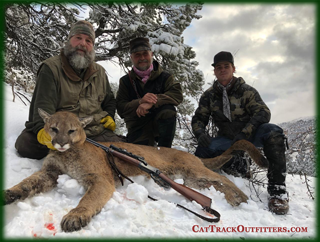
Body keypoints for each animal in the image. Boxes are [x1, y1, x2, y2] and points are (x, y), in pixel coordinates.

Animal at [5, 108, 268, 232]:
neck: (66, 154)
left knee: (225, 180)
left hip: (194, 172)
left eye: (71, 130)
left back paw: (241, 199)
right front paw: (10, 193)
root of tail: (191, 154)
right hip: (194, 180)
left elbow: (88, 199)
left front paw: (75, 217)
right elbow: (27, 183)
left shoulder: (100, 179)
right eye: (53, 128)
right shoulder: (50, 172)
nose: (59, 142)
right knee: (214, 185)